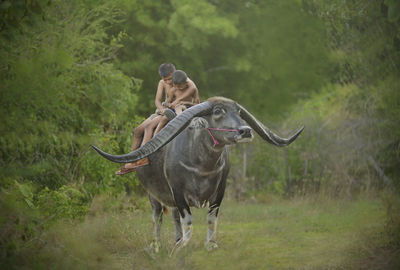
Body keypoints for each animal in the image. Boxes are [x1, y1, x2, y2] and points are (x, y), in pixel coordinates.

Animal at [91, 97, 304, 253]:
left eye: (238, 113)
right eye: (217, 111)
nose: (245, 131)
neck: (202, 166)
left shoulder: (220, 190)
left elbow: (211, 218)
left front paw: (210, 244)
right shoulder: (177, 191)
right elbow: (188, 219)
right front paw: (183, 246)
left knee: (174, 217)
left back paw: (176, 239)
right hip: (152, 195)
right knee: (157, 217)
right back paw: (157, 245)